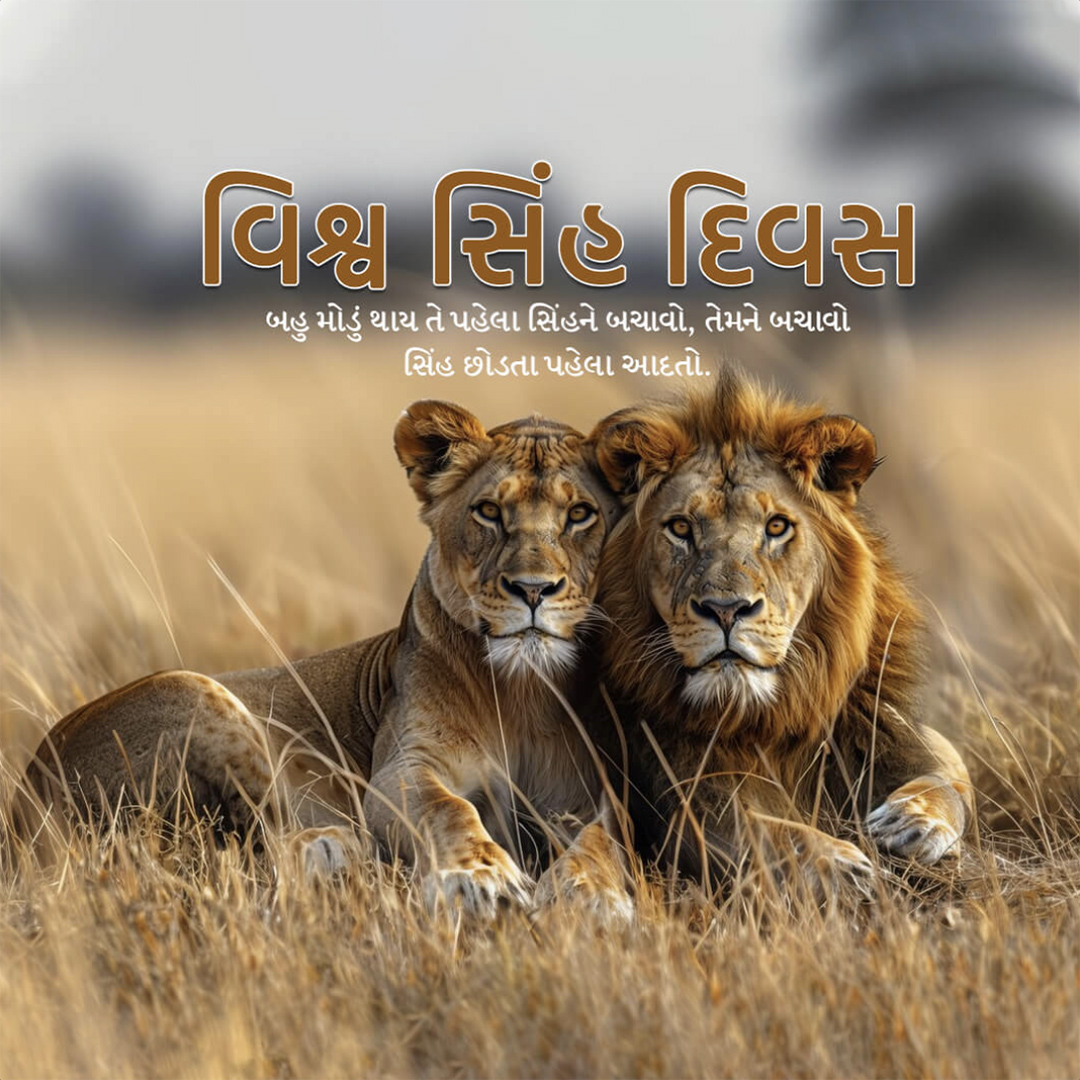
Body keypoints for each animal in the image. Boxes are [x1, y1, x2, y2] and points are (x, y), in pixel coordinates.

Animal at [14, 401, 632, 920]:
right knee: (249, 849)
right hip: (198, 698)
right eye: (488, 512)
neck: (523, 690)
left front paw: (592, 897)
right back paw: (335, 849)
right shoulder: (401, 770)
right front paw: (478, 879)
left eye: (580, 514)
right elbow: (450, 808)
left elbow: (604, 840)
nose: (533, 589)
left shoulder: (605, 789)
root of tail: (23, 797)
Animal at [586, 368, 973, 897]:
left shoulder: (889, 730)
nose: (726, 610)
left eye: (776, 526)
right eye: (681, 528)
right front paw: (841, 867)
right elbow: (766, 831)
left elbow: (950, 775)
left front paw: (912, 822)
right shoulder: (679, 799)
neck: (768, 719)